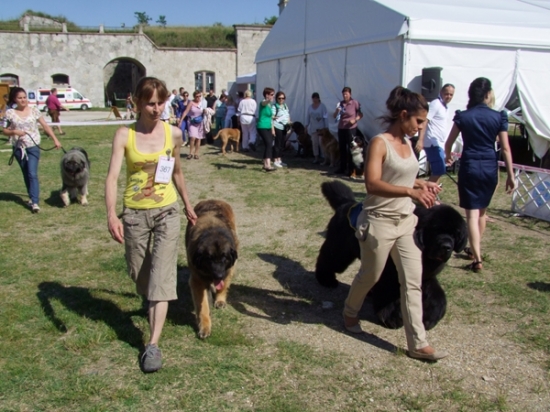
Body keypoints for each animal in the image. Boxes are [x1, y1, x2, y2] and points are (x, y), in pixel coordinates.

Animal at [186, 199, 239, 339]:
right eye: (209, 259)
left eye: (224, 257)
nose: (219, 275)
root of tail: (212, 199)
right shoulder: (197, 280)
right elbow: (203, 307)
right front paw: (205, 327)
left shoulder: (228, 270)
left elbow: (223, 286)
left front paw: (220, 299)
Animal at [315, 181, 467, 330]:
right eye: (435, 230)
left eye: (455, 234)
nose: (446, 247)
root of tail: (346, 203)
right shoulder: (388, 274)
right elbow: (388, 295)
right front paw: (391, 317)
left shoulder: (425, 277)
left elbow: (437, 296)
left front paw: (430, 317)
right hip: (340, 251)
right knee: (329, 259)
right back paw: (326, 279)